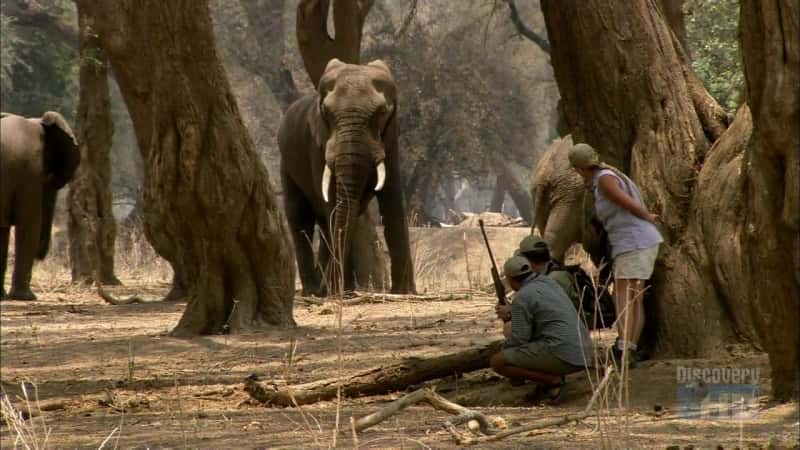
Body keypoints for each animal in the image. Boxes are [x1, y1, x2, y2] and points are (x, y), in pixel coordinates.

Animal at [278, 58, 416, 296]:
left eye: (381, 112)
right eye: (326, 112)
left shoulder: (390, 137)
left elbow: (392, 200)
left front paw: (403, 292)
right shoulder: (318, 144)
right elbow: (334, 203)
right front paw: (340, 291)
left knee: (326, 222)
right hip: (286, 163)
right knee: (301, 217)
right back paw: (316, 291)